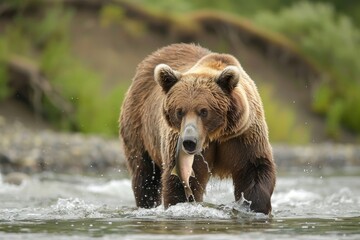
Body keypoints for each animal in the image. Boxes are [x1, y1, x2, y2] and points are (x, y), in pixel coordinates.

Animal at [119, 42, 276, 214]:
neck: (216, 136)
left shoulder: (243, 137)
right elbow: (182, 181)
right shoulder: (182, 149)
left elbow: (253, 169)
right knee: (145, 175)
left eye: (204, 111)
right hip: (139, 128)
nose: (189, 141)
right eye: (179, 111)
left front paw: (253, 206)